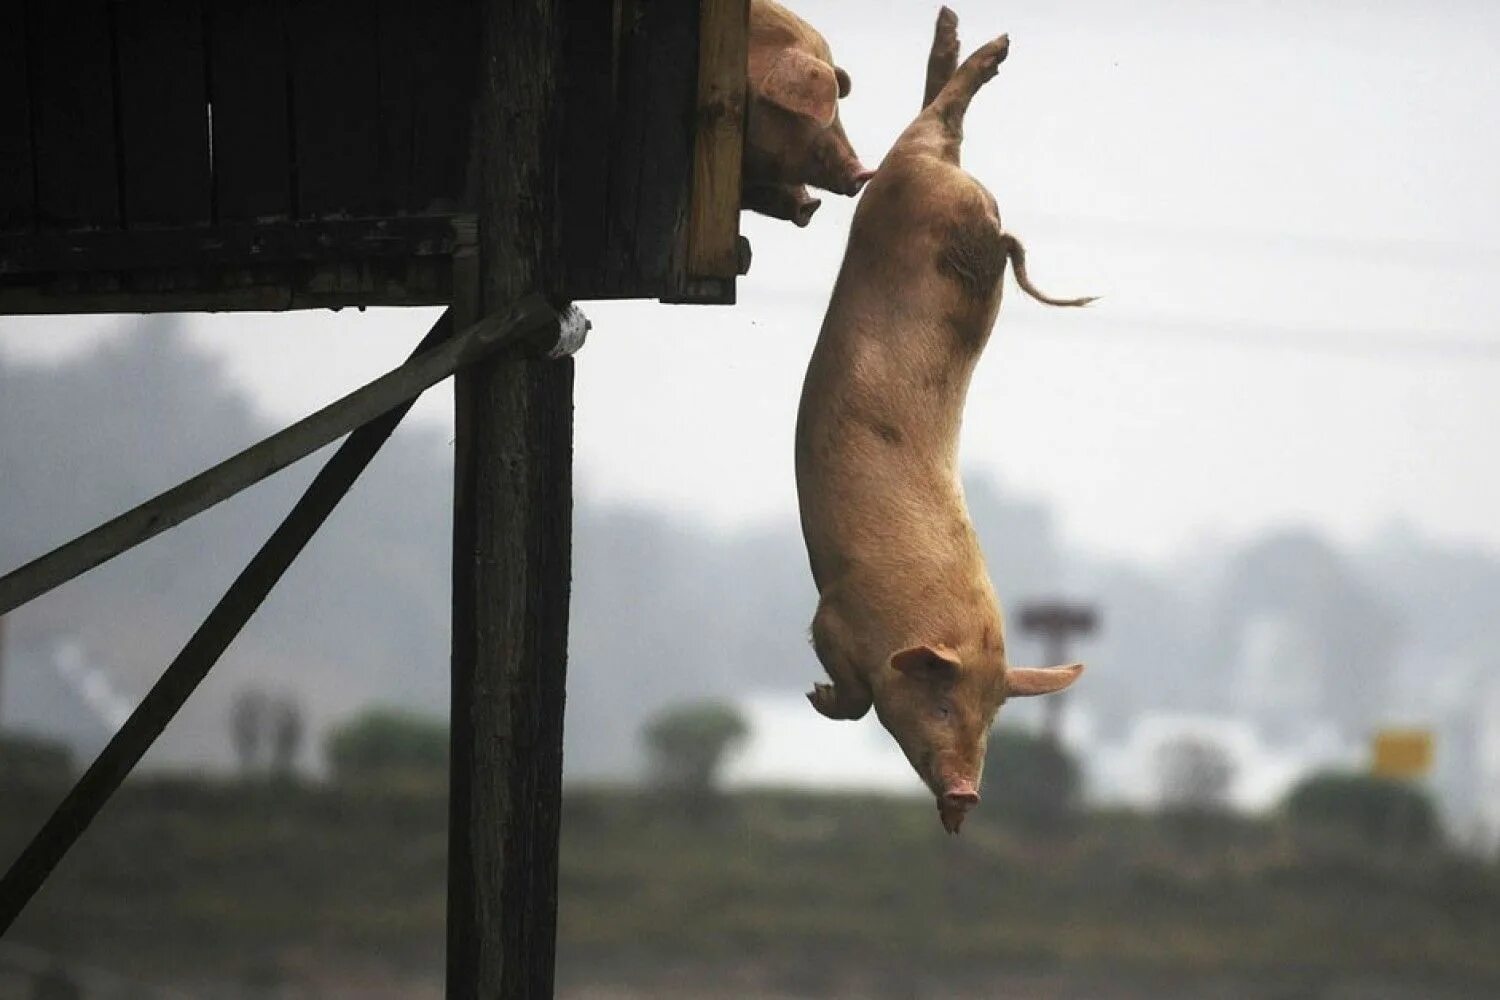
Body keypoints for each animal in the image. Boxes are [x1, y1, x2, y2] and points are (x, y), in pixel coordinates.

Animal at [792, 9, 1098, 839]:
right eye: (940, 703)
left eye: (994, 714)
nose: (966, 795)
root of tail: (986, 214)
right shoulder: (832, 614)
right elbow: (851, 693)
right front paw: (814, 697)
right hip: (907, 182)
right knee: (933, 121)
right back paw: (983, 46)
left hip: (923, 180)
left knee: (940, 118)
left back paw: (967, 39)